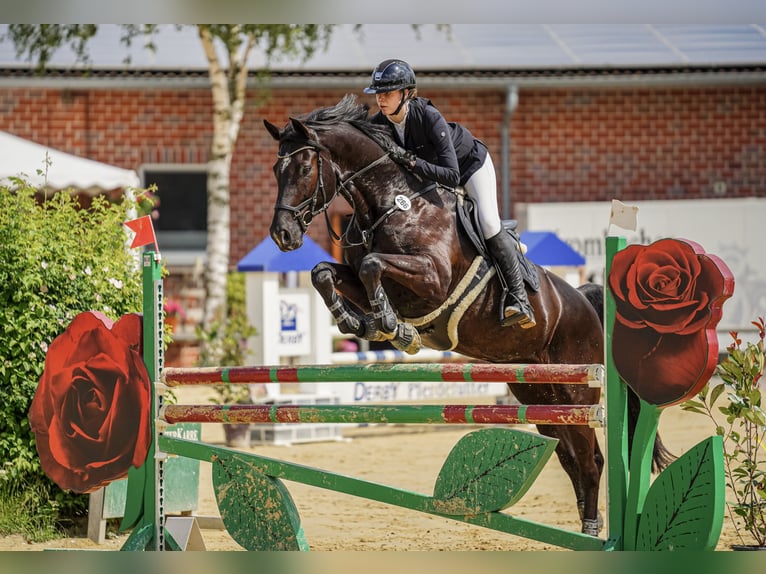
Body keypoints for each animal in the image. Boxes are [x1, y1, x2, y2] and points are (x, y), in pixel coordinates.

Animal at [264, 95, 672, 540]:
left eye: (304, 169)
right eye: (276, 170)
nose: (283, 235)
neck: (389, 203)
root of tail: (584, 301)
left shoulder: (432, 278)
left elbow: (373, 265)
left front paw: (391, 327)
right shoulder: (360, 275)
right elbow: (323, 272)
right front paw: (356, 322)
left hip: (577, 390)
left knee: (590, 459)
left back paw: (591, 529)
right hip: (537, 393)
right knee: (568, 455)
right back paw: (584, 530)